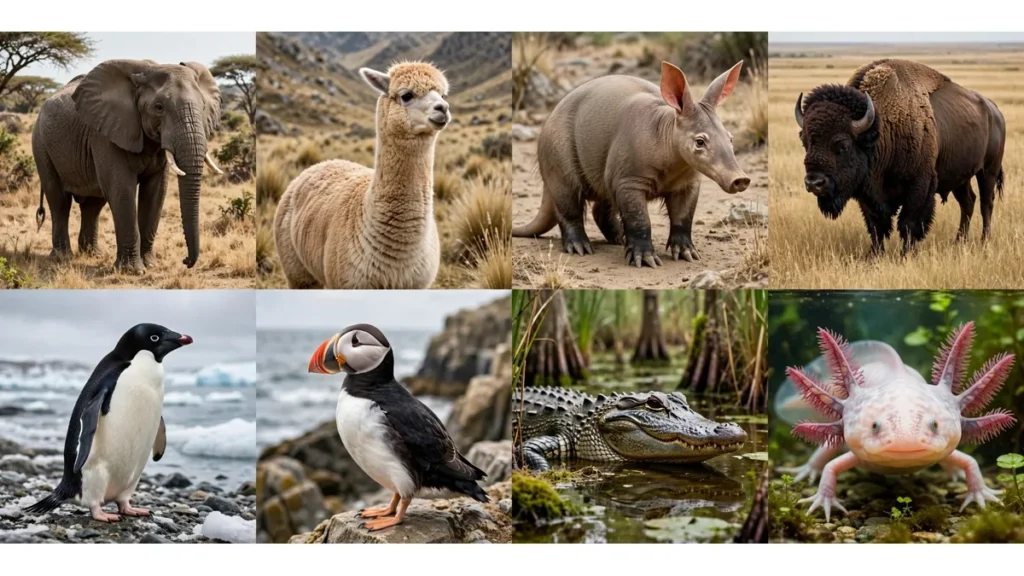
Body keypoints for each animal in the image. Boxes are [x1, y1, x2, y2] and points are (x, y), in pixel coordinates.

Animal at [31, 59, 223, 272]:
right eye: (159, 107)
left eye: (203, 106)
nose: (186, 261)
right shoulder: (106, 134)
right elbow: (122, 189)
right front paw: (133, 271)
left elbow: (156, 193)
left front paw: (150, 265)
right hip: (41, 144)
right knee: (59, 201)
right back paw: (62, 257)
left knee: (93, 205)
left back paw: (92, 254)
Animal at [795, 58, 1006, 253]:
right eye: (805, 142)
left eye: (843, 145)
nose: (814, 183)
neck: (882, 129)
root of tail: (994, 111)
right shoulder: (867, 193)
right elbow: (876, 226)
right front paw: (874, 256)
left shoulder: (919, 187)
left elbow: (908, 223)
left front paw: (906, 255)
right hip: (960, 177)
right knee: (968, 202)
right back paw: (959, 241)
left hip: (988, 170)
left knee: (986, 203)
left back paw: (984, 241)